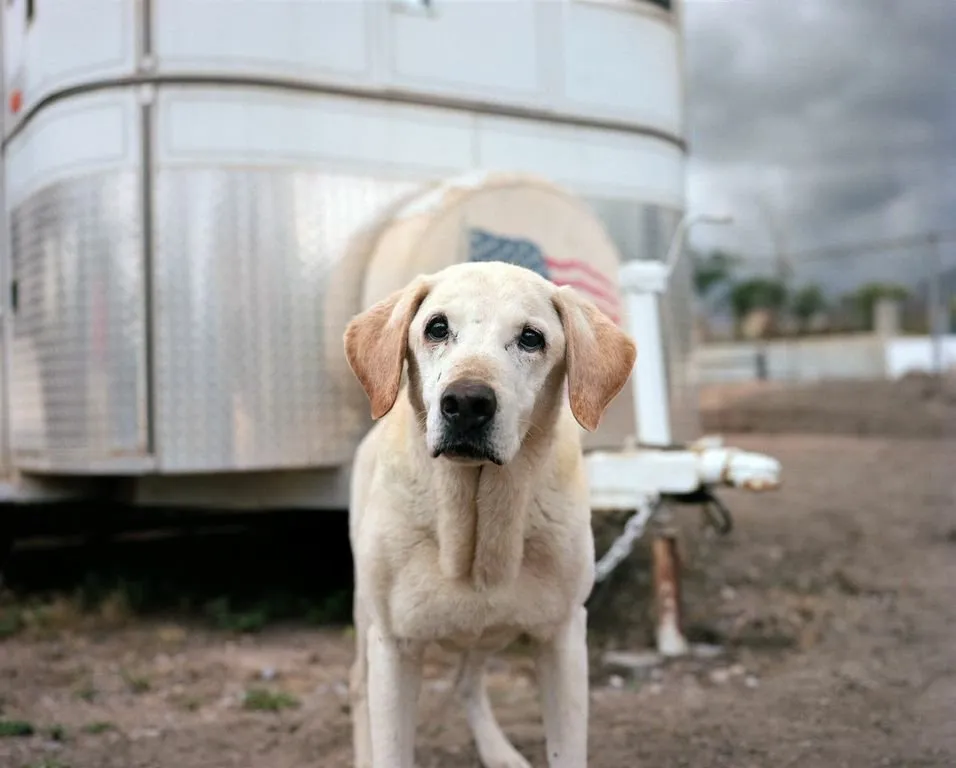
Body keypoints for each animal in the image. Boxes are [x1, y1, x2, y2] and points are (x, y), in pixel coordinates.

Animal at [344, 260, 636, 764]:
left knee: (466, 681)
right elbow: (391, 747)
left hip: (486, 631)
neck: (478, 527)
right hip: (368, 621)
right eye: (436, 327)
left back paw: (499, 752)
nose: (466, 403)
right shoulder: (395, 645)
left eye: (531, 338)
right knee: (360, 691)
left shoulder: (562, 639)